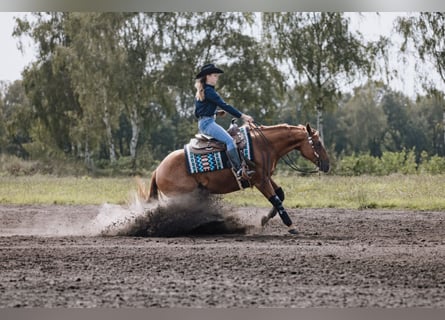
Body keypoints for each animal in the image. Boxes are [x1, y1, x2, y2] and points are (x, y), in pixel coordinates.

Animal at [137, 122, 328, 235]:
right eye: (318, 143)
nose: (327, 165)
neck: (264, 145)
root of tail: (158, 170)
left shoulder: (265, 177)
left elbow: (280, 195)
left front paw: (264, 219)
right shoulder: (260, 181)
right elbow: (276, 199)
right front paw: (292, 227)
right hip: (182, 197)